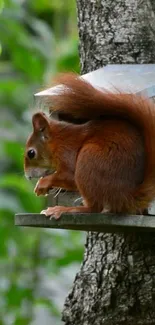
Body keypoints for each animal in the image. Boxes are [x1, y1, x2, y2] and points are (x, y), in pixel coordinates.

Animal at [24, 72, 155, 216]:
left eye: (31, 153)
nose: (27, 176)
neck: (58, 141)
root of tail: (127, 197)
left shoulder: (67, 151)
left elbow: (69, 176)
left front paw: (43, 183)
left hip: (88, 160)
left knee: (94, 208)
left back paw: (64, 209)